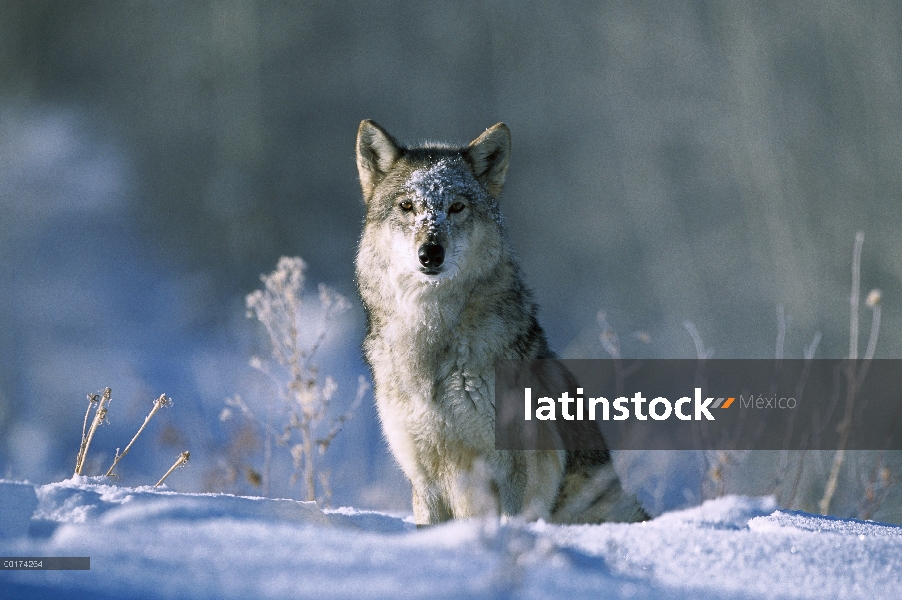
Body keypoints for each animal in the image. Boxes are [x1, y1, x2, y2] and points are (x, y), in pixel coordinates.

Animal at [354, 119, 648, 524]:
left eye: (456, 207)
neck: (433, 335)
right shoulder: (424, 475)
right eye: (407, 206)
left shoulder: (514, 466)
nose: (430, 253)